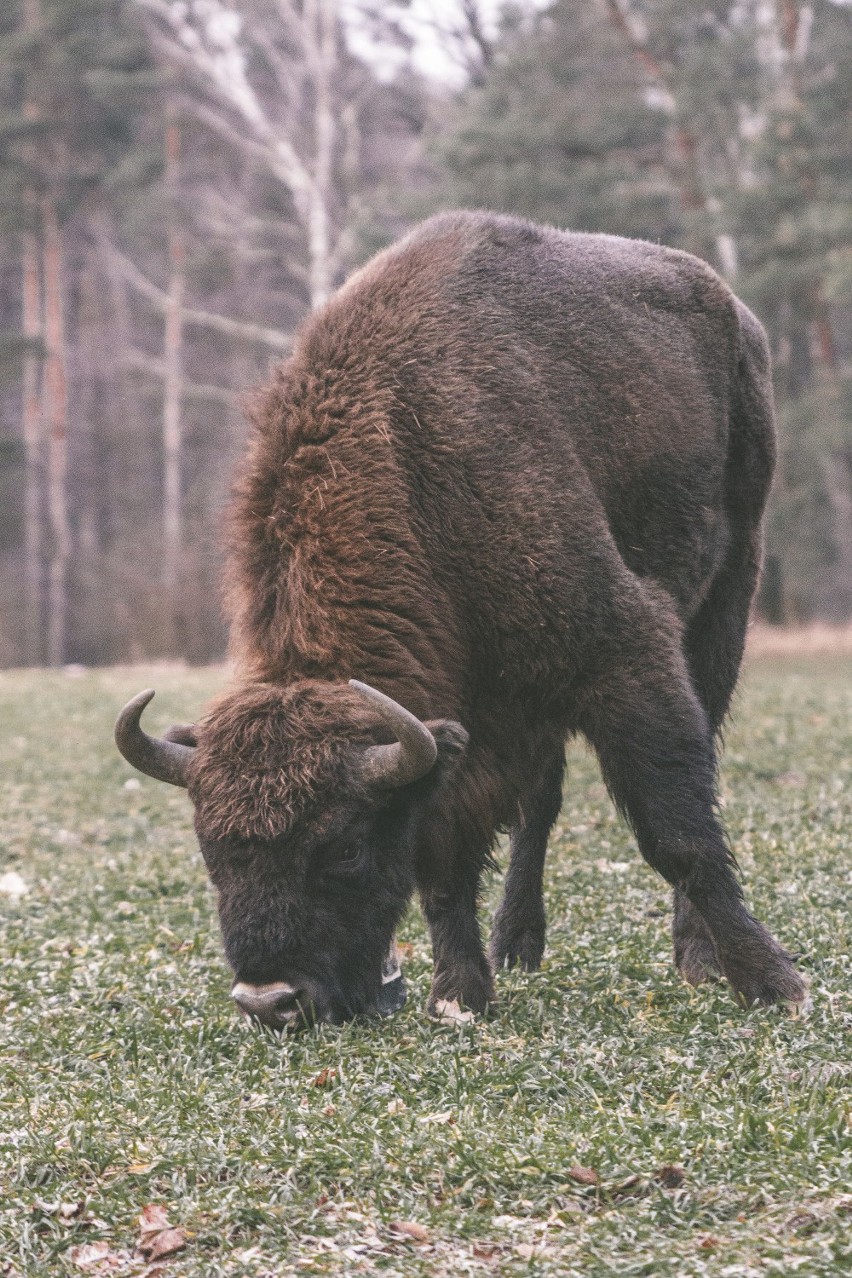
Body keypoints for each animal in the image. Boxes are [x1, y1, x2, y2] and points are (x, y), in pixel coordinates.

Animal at [116, 209, 812, 1027]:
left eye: (343, 848)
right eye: (213, 852)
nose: (271, 1000)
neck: (413, 469)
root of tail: (734, 312)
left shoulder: (623, 649)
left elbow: (677, 833)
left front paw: (773, 983)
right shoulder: (466, 725)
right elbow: (444, 858)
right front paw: (459, 992)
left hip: (725, 602)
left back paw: (696, 956)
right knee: (540, 806)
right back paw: (518, 943)